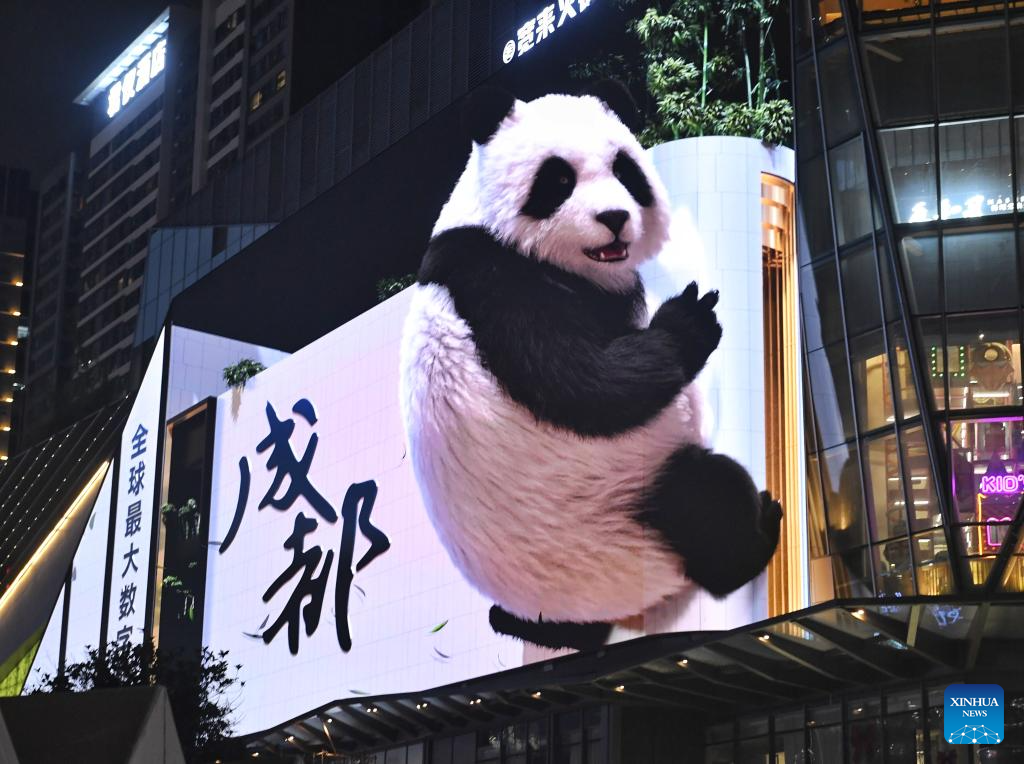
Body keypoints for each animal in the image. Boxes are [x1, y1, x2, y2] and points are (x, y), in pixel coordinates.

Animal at [399, 81, 782, 651]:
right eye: (558, 180)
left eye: (625, 169)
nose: (614, 219)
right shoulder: (498, 281)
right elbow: (589, 387)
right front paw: (689, 320)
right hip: (627, 516)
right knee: (707, 500)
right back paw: (759, 532)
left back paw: (520, 624)